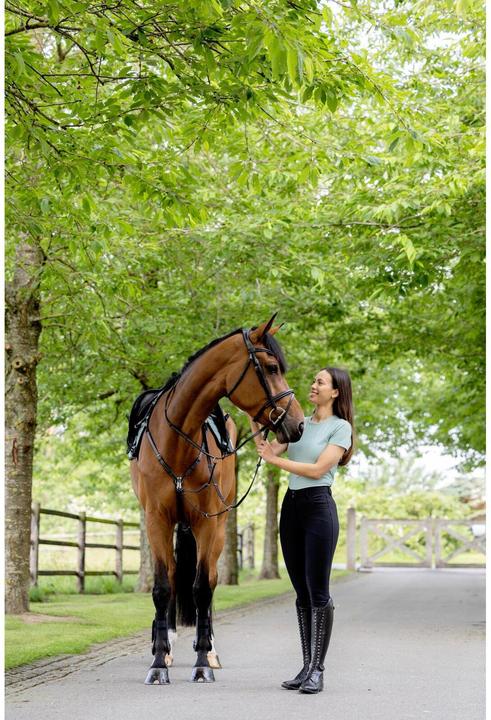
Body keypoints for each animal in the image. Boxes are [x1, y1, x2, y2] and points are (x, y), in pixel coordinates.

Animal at [128, 315, 305, 684]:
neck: (178, 441)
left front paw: (201, 663)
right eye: (271, 368)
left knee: (207, 582)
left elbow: (201, 589)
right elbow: (163, 587)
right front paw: (158, 662)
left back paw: (208, 648)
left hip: (220, 528)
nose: (298, 424)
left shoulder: (207, 523)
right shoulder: (157, 521)